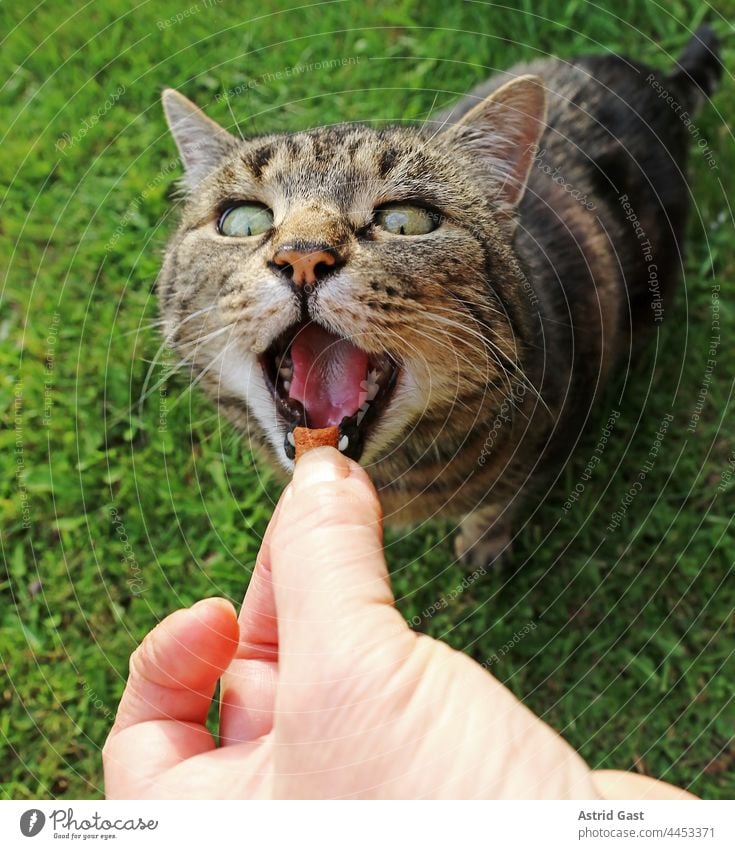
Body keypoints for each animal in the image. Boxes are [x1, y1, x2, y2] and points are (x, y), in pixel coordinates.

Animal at [158, 26, 720, 568]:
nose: (302, 257)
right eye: (242, 221)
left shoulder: (549, 439)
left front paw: (483, 543)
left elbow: (499, 500)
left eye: (406, 221)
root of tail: (659, 76)